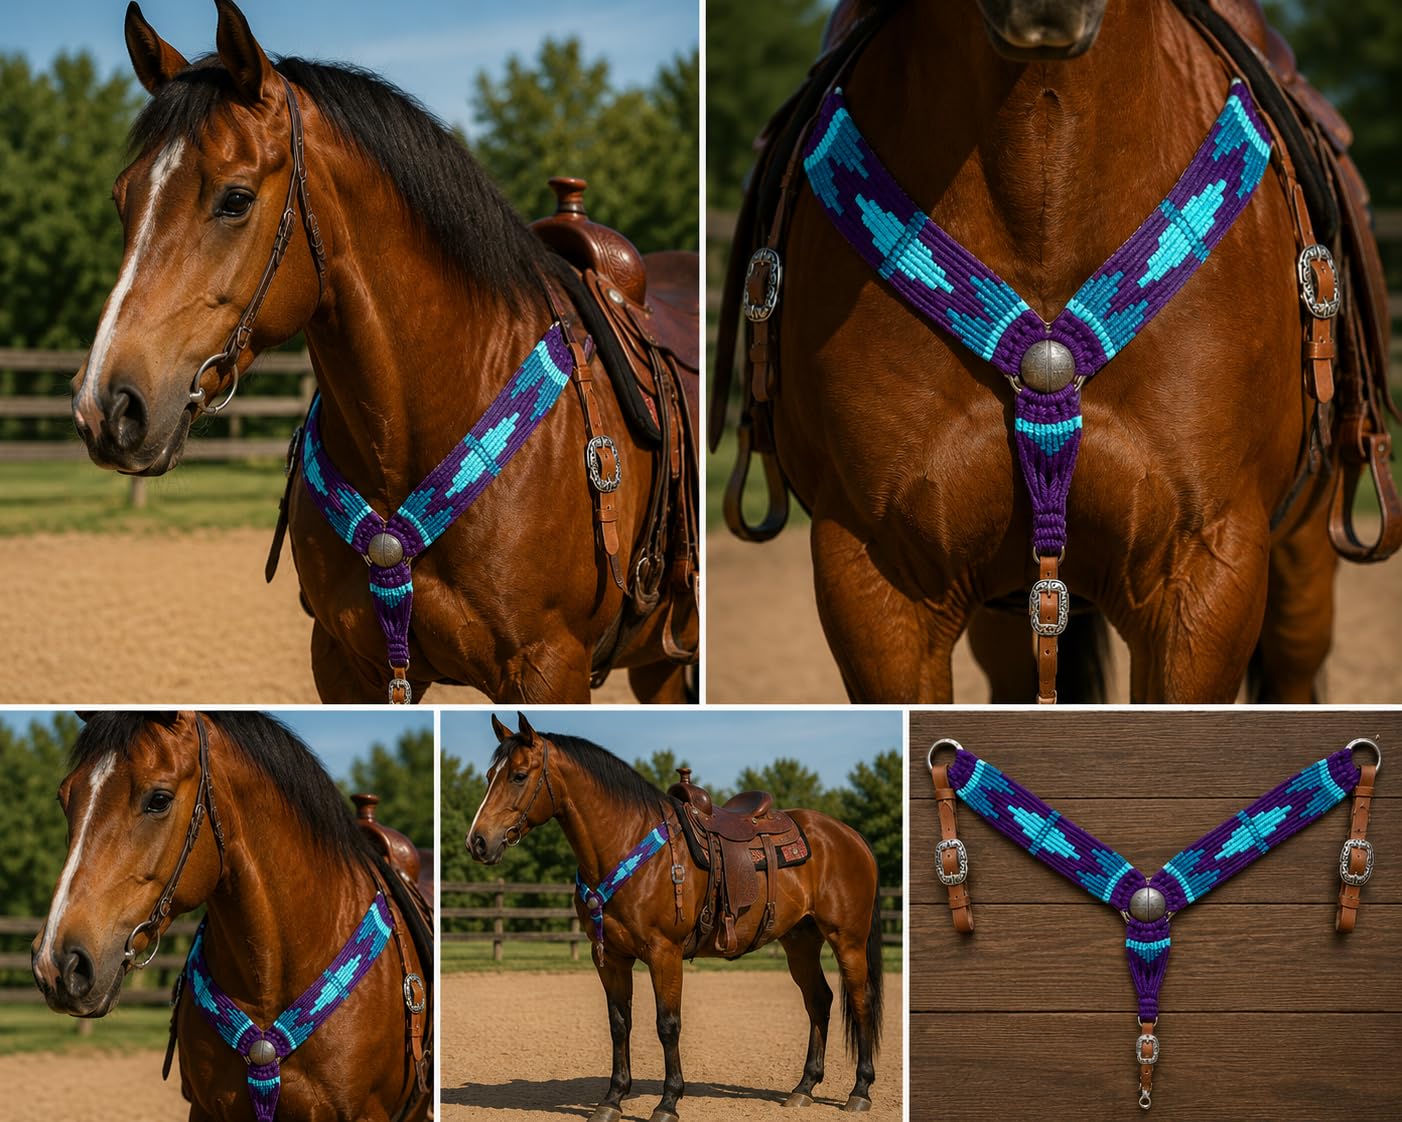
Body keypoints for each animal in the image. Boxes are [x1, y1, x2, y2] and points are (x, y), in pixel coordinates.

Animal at [466, 713, 886, 1120]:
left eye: (519, 775)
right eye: (488, 777)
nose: (478, 841)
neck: (626, 842)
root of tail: (850, 836)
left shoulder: (663, 953)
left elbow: (667, 1025)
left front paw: (668, 1102)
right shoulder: (609, 956)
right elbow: (619, 1024)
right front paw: (612, 1099)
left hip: (847, 940)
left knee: (860, 999)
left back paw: (860, 1091)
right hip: (800, 940)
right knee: (819, 1000)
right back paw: (803, 1088)